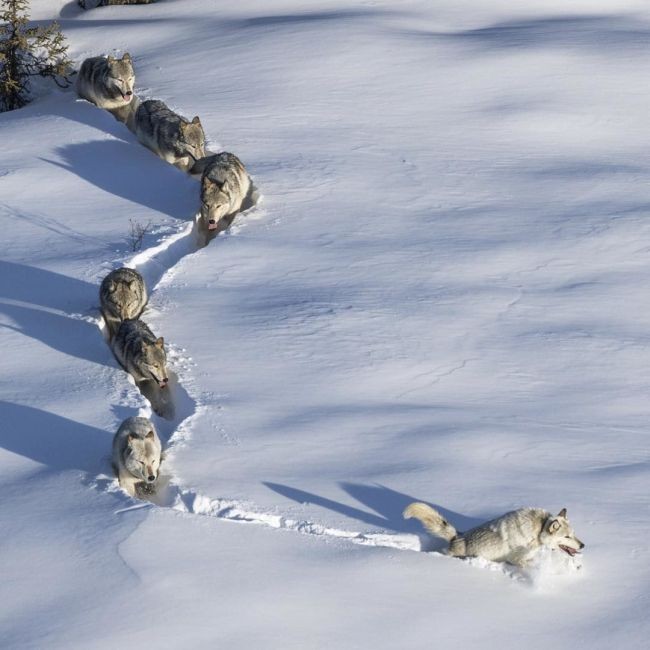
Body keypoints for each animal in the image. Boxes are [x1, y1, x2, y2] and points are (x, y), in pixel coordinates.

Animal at [402, 498, 584, 564]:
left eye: (574, 535)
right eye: (567, 536)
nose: (583, 545)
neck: (538, 530)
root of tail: (457, 536)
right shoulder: (517, 560)